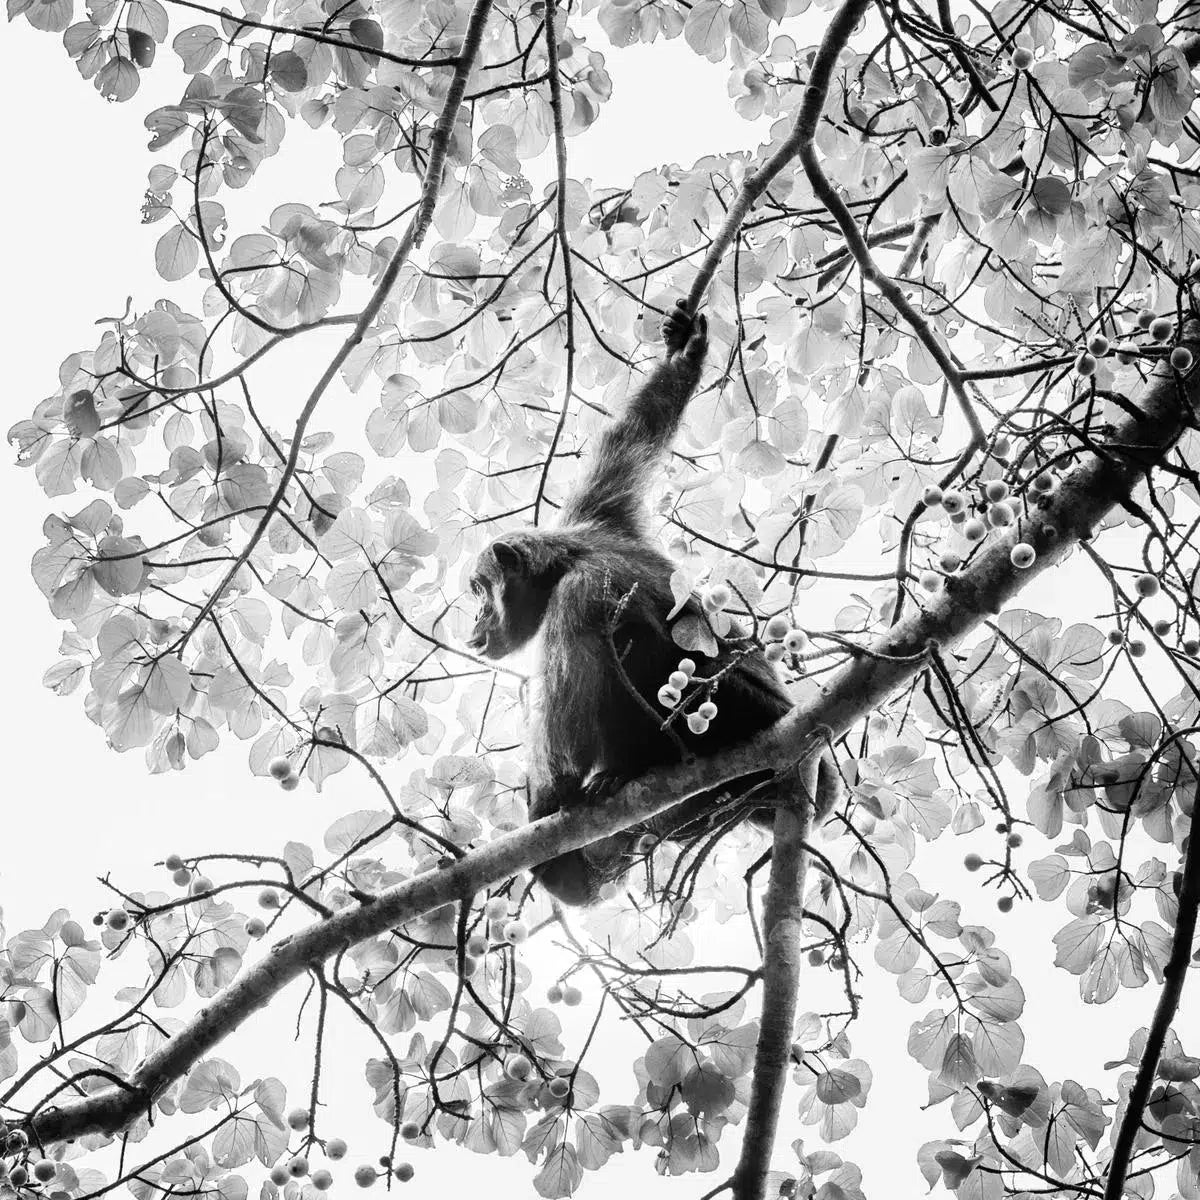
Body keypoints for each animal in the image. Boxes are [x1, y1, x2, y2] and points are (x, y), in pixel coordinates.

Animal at [466, 300, 842, 905]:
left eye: (479, 589)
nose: (474, 616)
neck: (568, 558)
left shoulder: (579, 592)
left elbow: (569, 694)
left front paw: (551, 803)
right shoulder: (601, 504)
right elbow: (636, 432)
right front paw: (684, 353)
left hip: (732, 712)